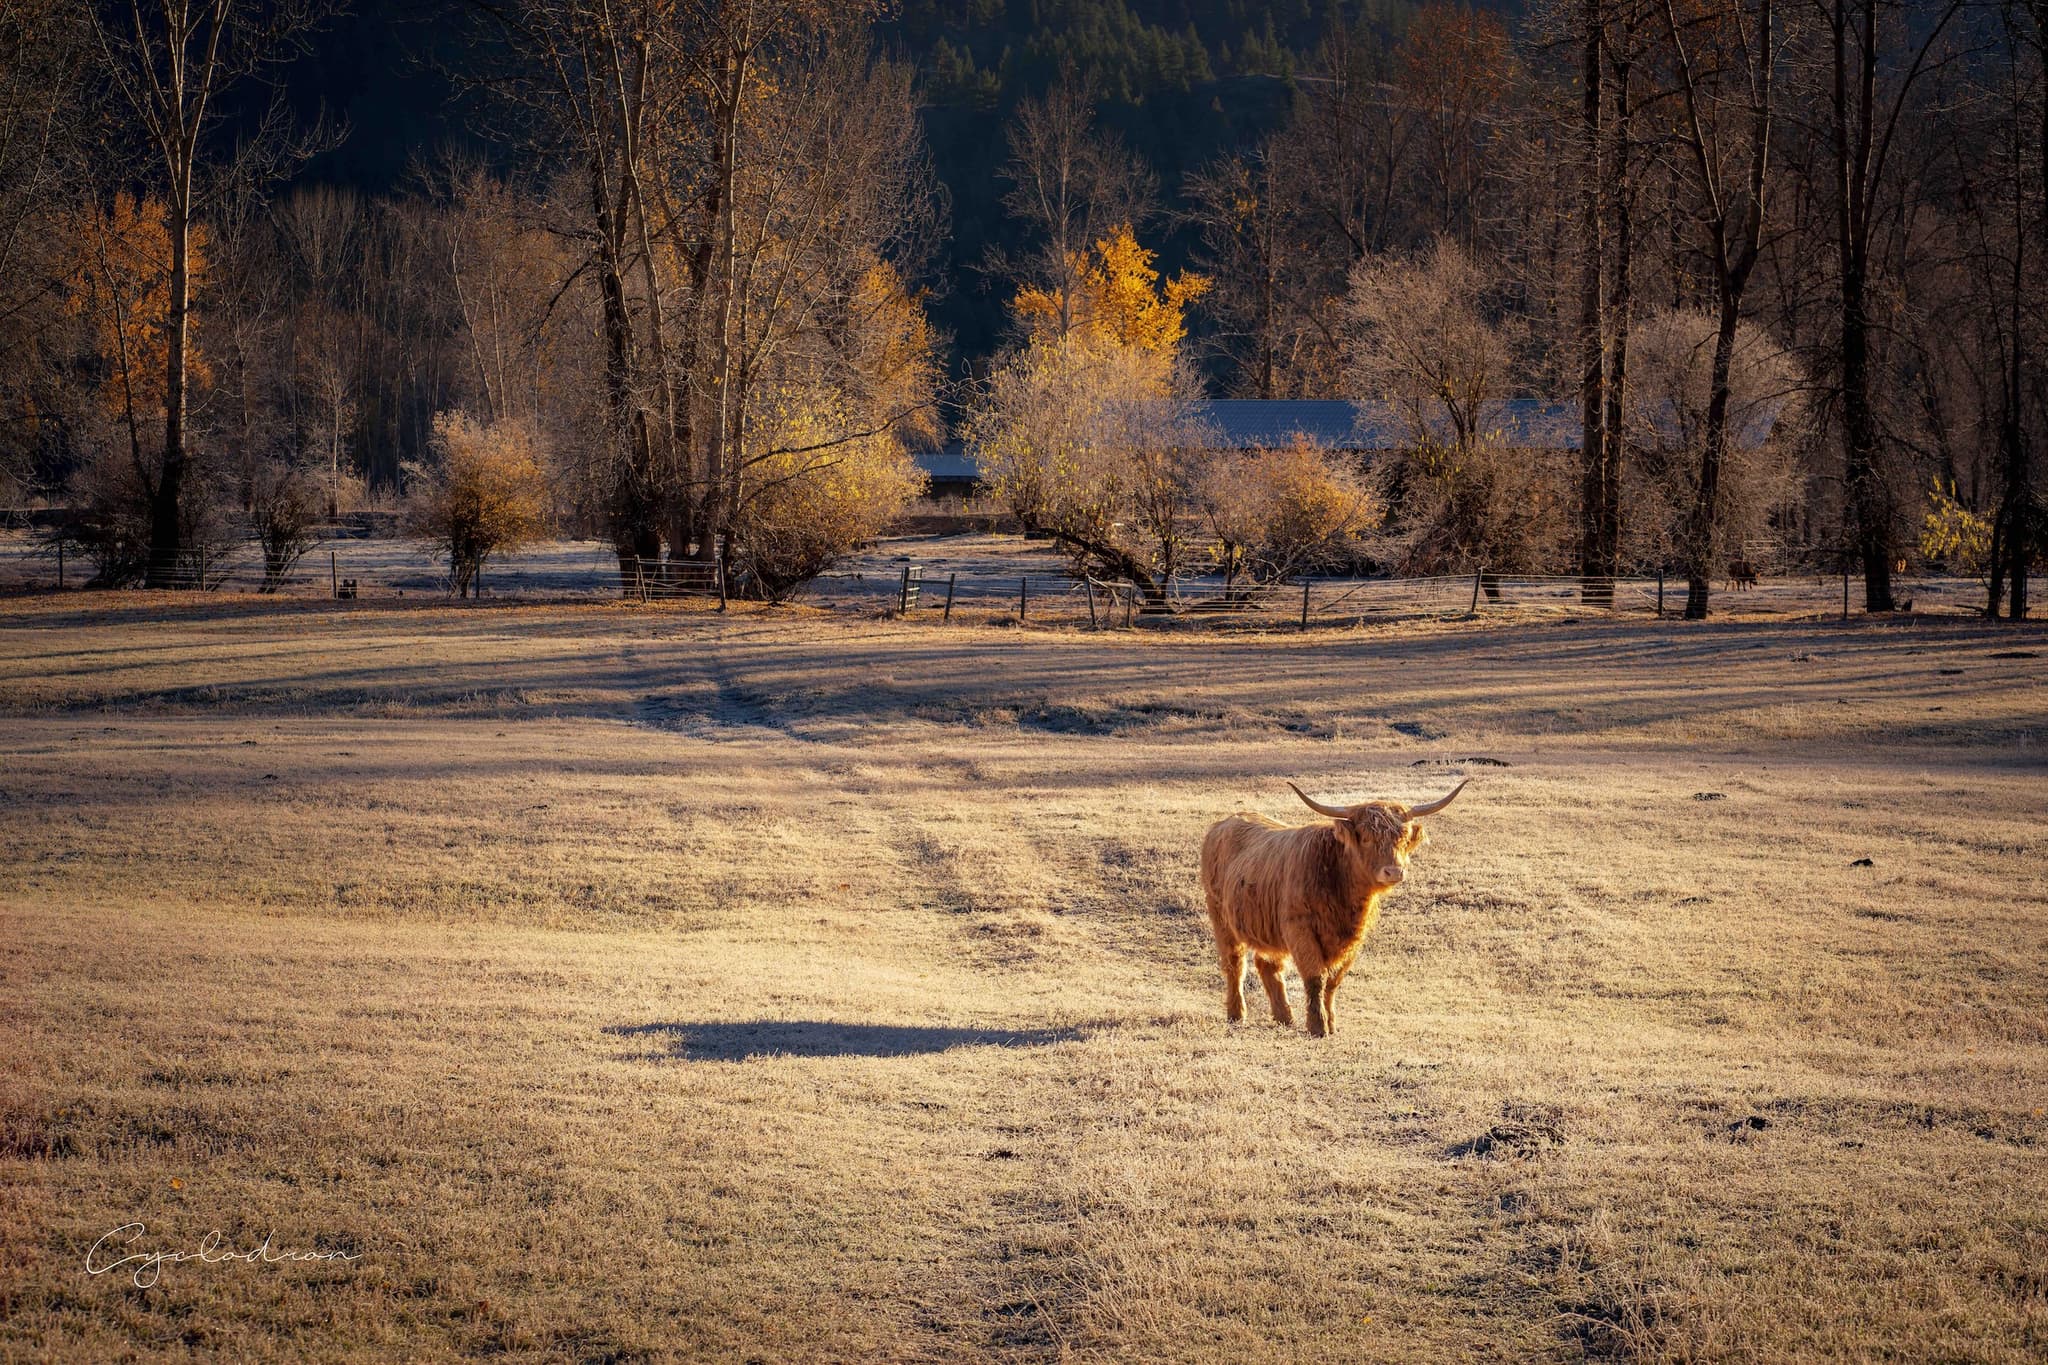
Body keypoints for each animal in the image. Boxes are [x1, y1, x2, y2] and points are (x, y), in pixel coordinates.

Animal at [1201, 780, 1466, 1038]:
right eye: (1366, 838)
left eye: (1402, 837)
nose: (1394, 871)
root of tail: (1224, 823)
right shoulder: (1300, 930)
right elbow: (1315, 978)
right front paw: (1317, 1026)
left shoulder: (1352, 940)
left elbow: (1333, 981)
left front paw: (1332, 1024)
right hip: (1221, 917)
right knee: (1235, 964)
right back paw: (1236, 1015)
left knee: (1268, 964)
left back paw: (1285, 1017)